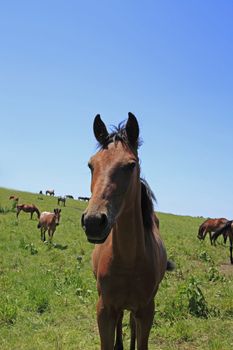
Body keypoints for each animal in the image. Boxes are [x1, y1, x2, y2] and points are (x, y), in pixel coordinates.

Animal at [81, 113, 172, 348]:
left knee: (130, 322)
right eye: (91, 165)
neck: (129, 261)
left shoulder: (147, 311)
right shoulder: (104, 309)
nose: (93, 221)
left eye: (131, 165)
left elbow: (140, 340)